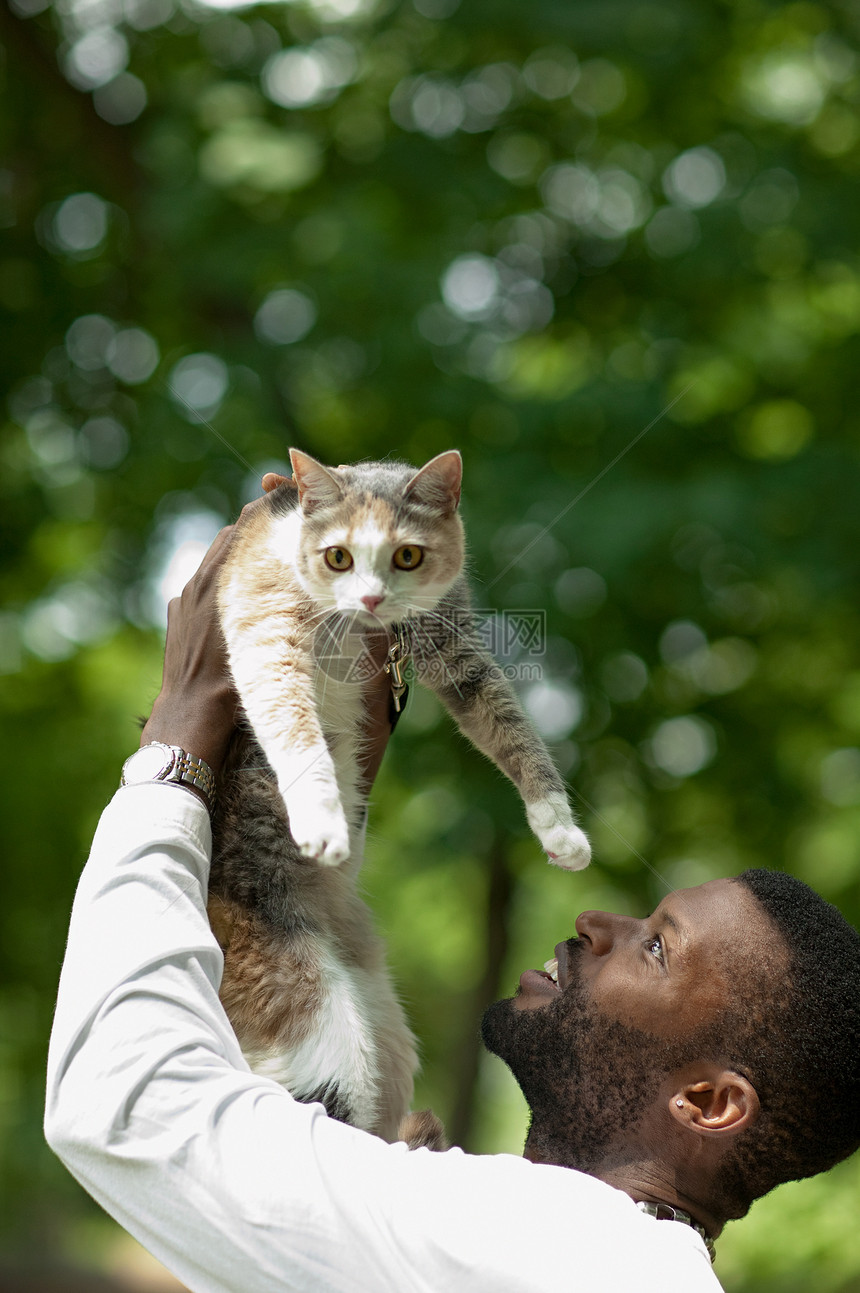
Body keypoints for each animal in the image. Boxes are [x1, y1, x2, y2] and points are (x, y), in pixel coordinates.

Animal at [208, 449, 587, 1148]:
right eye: (337, 557)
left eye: (407, 556)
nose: (372, 596)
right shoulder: (263, 624)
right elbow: (289, 721)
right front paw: (324, 821)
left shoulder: (450, 641)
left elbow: (509, 726)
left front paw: (558, 828)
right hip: (318, 1026)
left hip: (388, 1030)